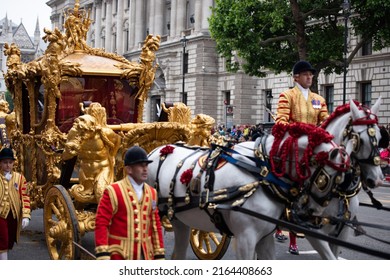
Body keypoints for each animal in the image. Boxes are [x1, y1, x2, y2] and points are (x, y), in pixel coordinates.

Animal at [147, 123, 354, 260]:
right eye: (326, 179)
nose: (309, 213)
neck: (261, 172)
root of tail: (154, 151)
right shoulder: (245, 238)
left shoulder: (265, 238)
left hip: (180, 221)